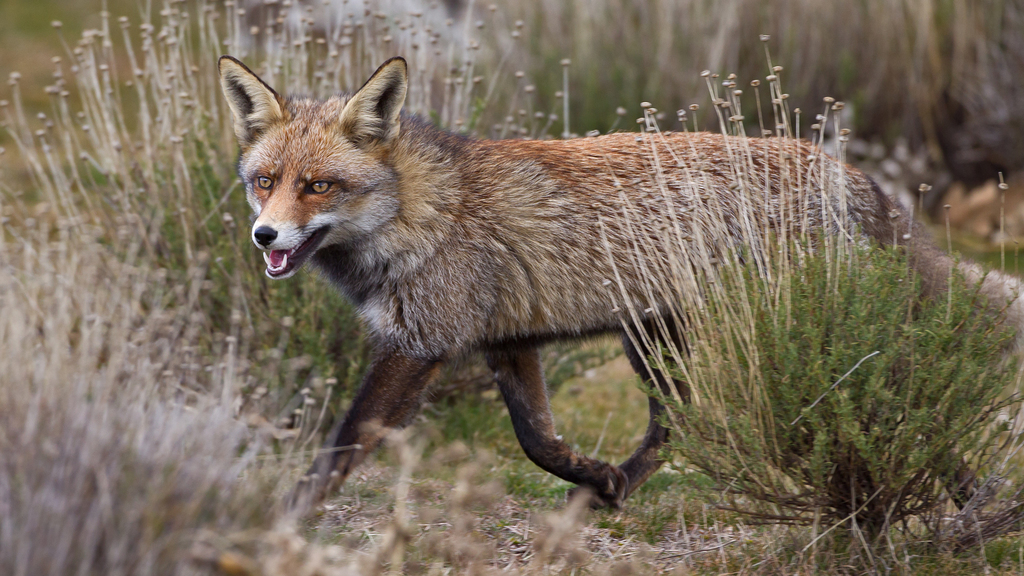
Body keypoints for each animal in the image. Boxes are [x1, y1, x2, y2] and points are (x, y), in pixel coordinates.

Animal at [218, 55, 1024, 510]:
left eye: (319, 186)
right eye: (265, 182)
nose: (265, 237)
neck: (422, 209)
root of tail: (847, 171)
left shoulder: (421, 343)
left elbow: (341, 448)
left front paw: (288, 518)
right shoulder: (506, 342)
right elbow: (537, 440)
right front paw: (590, 473)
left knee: (900, 400)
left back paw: (965, 502)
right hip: (655, 342)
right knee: (679, 423)